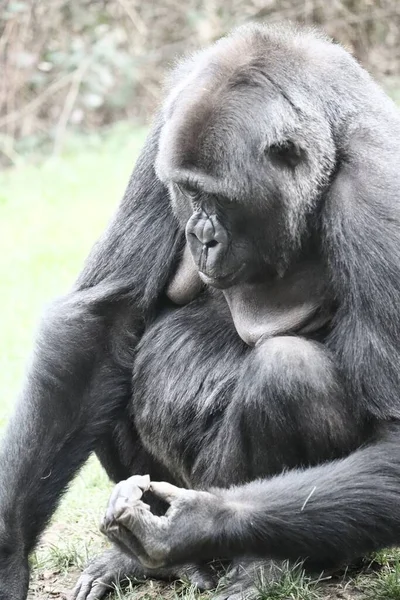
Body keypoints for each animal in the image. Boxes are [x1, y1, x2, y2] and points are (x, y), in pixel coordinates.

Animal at [1, 18, 400, 600]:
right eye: (187, 192)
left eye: (219, 198)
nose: (201, 235)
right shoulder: (164, 128)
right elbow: (104, 320)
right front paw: (7, 553)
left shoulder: (376, 191)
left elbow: (390, 436)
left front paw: (194, 524)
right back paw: (147, 564)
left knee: (290, 371)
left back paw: (265, 561)